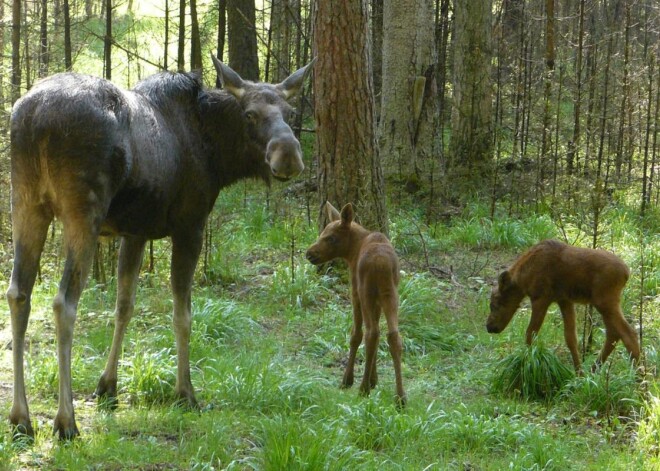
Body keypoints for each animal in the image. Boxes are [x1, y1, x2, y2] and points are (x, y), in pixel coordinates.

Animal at [5, 56, 314, 442]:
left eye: (290, 111)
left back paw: (20, 417)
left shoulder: (135, 232)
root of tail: (35, 118)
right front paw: (185, 391)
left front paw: (108, 385)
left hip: (26, 203)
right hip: (82, 212)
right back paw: (66, 421)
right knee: (64, 303)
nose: (289, 157)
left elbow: (124, 306)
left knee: (18, 293)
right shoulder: (190, 226)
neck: (217, 156)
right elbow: (183, 315)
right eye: (250, 114)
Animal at [306, 202, 408, 406]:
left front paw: (350, 380)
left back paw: (362, 389)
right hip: (391, 294)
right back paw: (400, 397)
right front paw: (374, 379)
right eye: (322, 234)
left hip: (365, 292)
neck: (352, 252)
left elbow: (355, 334)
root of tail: (381, 264)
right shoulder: (378, 301)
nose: (309, 253)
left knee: (371, 333)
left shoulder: (355, 292)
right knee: (393, 335)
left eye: (330, 237)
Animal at [484, 240, 640, 372]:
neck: (523, 278)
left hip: (605, 301)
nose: (489, 326)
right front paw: (578, 373)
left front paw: (526, 360)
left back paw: (640, 379)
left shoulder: (541, 297)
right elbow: (570, 338)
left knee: (628, 333)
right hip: (605, 303)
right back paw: (593, 370)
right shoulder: (564, 300)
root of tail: (626, 273)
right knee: (613, 333)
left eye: (494, 304)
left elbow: (530, 333)